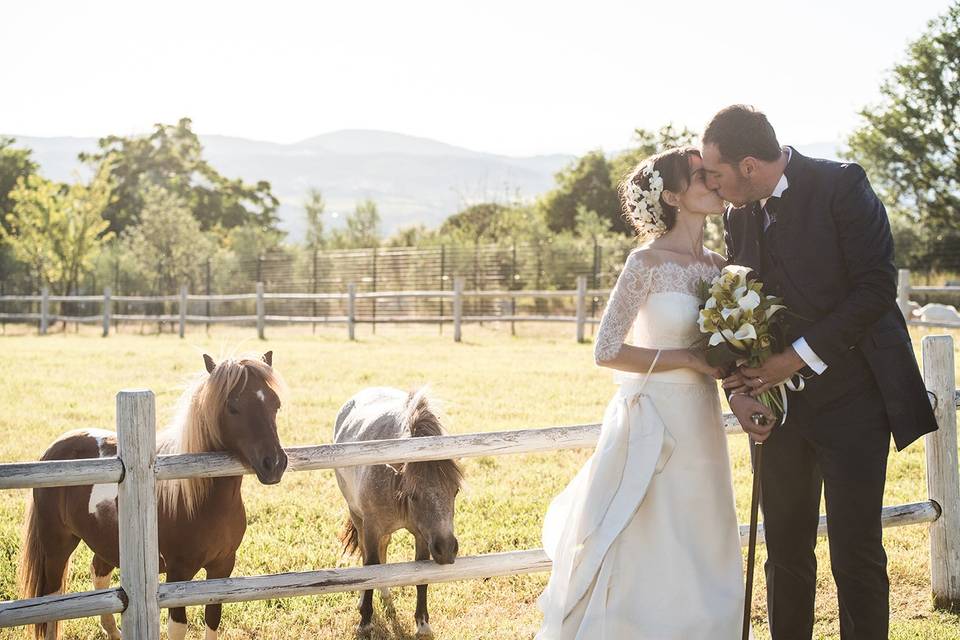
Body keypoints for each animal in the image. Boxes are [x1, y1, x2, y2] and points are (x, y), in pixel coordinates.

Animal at [16, 352, 286, 636]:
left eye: (275, 404)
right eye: (233, 406)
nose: (275, 463)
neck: (200, 499)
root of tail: (54, 448)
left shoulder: (222, 568)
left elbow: (213, 620)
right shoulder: (177, 573)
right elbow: (178, 628)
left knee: (99, 575)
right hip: (56, 546)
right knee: (52, 601)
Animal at [334, 388, 462, 636]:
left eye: (456, 491)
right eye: (413, 494)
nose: (446, 550)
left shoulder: (423, 535)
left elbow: (420, 575)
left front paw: (422, 624)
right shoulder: (372, 527)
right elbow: (371, 566)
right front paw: (365, 621)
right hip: (358, 517)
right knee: (366, 555)